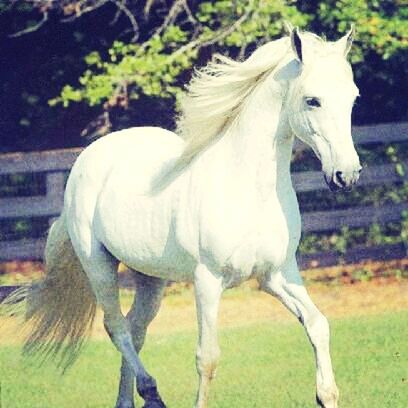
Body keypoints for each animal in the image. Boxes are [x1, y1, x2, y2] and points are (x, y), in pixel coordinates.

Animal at [10, 27, 360, 408]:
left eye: (353, 98)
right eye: (313, 100)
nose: (347, 175)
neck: (246, 187)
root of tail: (89, 155)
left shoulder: (277, 274)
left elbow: (318, 324)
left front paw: (326, 394)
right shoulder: (208, 280)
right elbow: (207, 358)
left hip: (150, 277)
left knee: (136, 328)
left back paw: (130, 400)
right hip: (98, 264)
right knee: (117, 327)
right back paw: (151, 393)